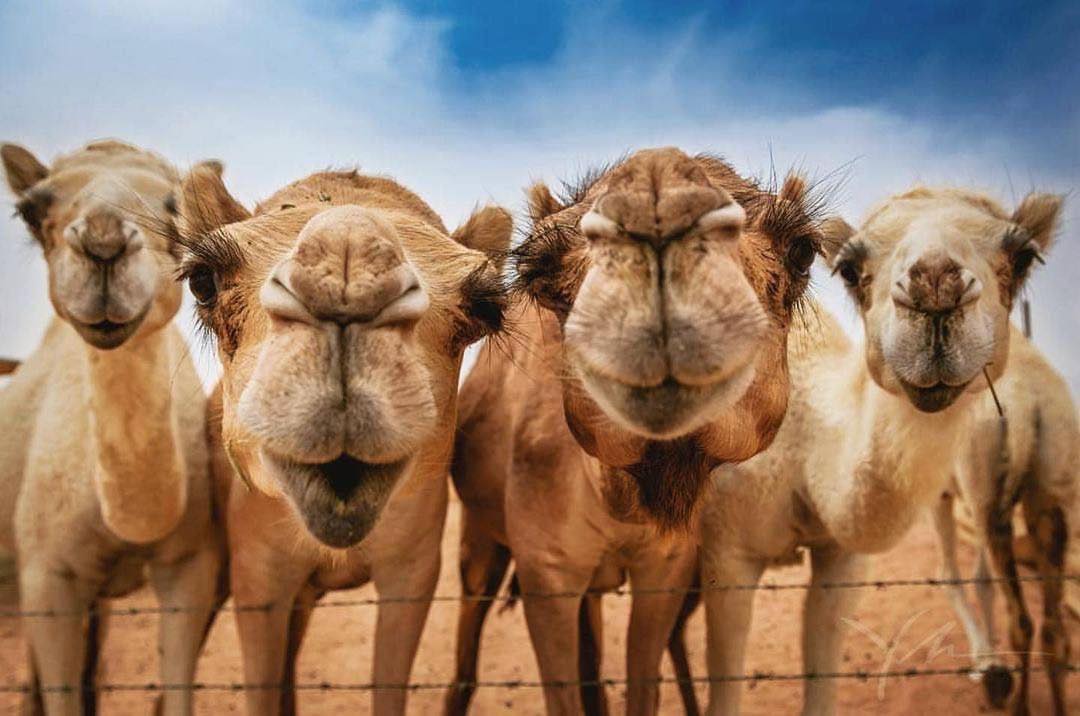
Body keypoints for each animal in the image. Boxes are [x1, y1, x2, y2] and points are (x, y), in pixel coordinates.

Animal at [447, 147, 830, 715]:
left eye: (802, 250)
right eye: (538, 267)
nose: (657, 196)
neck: (622, 507)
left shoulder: (666, 568)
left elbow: (641, 685)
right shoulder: (546, 572)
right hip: (480, 533)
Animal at [934, 336, 1076, 712]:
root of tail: (1032, 403)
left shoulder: (940, 491)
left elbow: (953, 575)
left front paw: (987, 667)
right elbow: (981, 578)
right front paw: (990, 664)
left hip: (987, 486)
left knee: (1021, 621)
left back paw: (1017, 703)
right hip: (1050, 493)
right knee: (1053, 628)